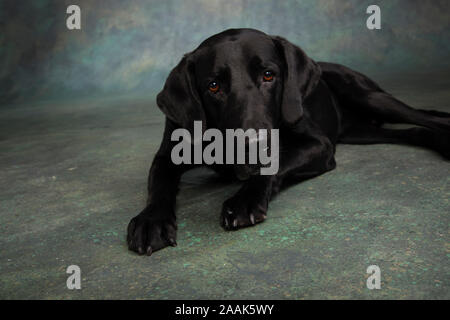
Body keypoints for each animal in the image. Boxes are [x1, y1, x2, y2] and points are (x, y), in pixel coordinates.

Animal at [127, 28, 450, 256]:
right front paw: (151, 221)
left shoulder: (319, 144)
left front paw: (244, 200)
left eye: (269, 75)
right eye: (214, 86)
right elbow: (159, 184)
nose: (253, 144)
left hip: (370, 97)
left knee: (425, 116)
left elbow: (276, 161)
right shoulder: (168, 154)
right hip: (362, 133)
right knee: (412, 131)